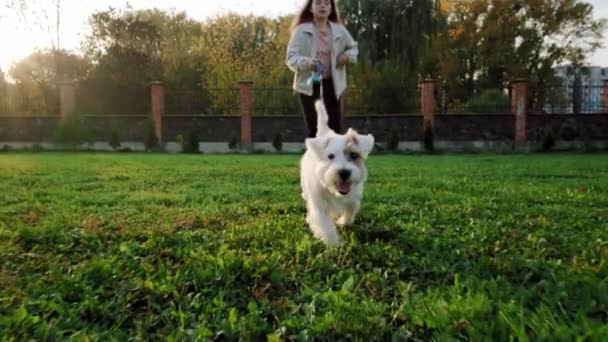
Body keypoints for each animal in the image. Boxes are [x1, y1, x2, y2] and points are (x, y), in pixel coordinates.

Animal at [300, 99, 376, 246]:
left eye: (354, 155)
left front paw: (343, 222)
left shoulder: (353, 196)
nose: (344, 173)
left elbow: (351, 208)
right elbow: (325, 226)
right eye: (330, 156)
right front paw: (333, 245)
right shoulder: (319, 207)